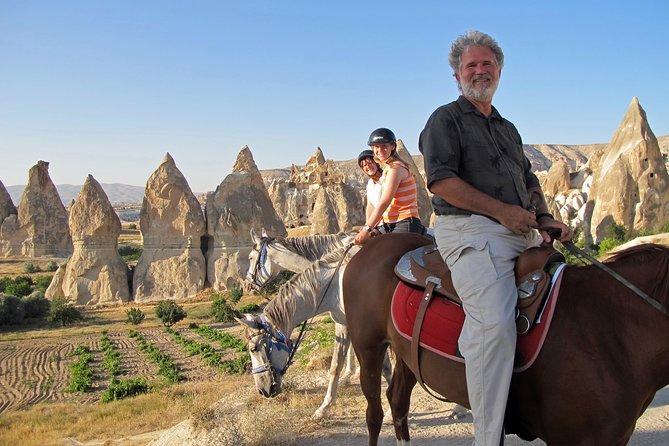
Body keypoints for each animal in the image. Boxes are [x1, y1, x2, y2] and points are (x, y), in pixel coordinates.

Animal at [344, 233, 668, 446]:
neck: (608, 325)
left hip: (408, 355)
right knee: (375, 414)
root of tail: (371, 245)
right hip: (368, 348)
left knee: (398, 401)